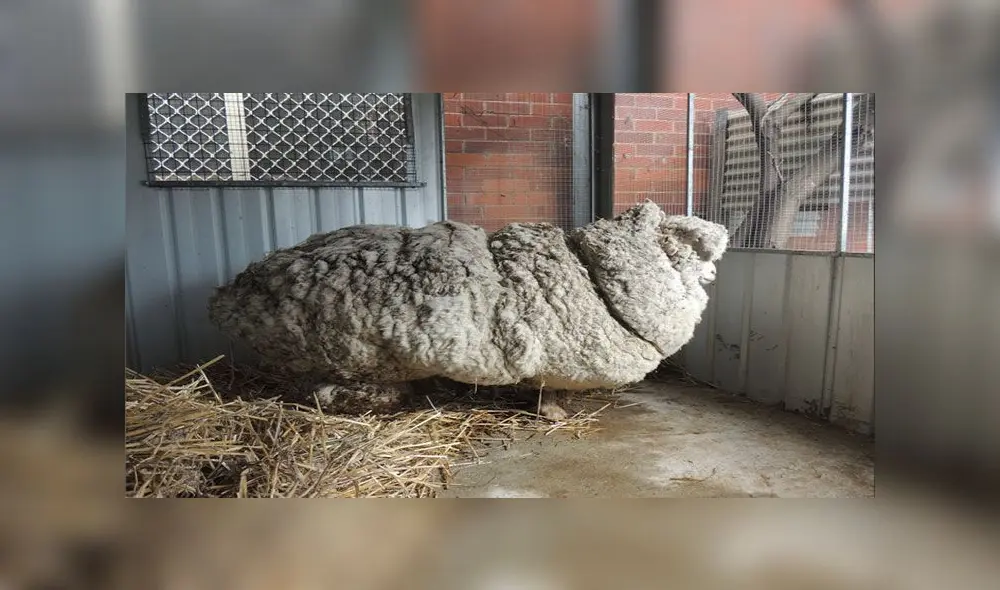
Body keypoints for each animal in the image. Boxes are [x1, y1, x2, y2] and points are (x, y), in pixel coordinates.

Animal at [207, 201, 728, 419]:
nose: (722, 235)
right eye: (690, 237)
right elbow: (550, 395)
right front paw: (555, 415)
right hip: (348, 353)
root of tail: (234, 293)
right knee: (323, 395)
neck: (593, 275)